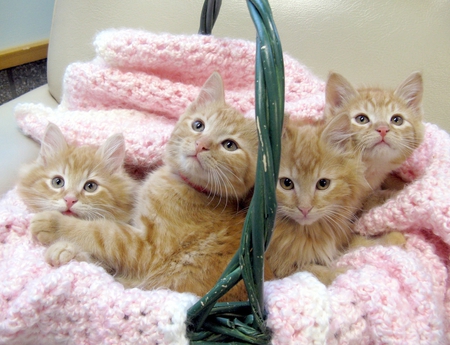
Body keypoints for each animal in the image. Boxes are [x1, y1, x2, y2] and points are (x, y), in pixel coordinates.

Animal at [31, 72, 272, 300]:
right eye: (198, 125)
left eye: (230, 145)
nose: (201, 144)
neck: (185, 184)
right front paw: (67, 250)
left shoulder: (147, 250)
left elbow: (104, 233)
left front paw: (54, 224)